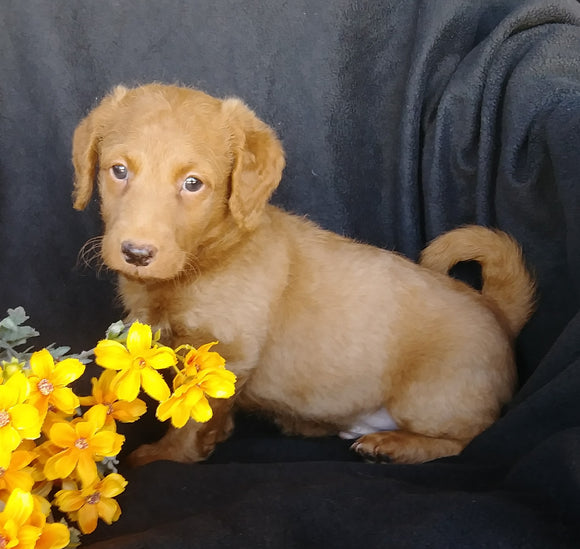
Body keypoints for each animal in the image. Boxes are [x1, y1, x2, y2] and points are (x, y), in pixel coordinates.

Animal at [72, 83, 536, 464]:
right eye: (118, 170)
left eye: (192, 183)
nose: (136, 252)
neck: (204, 259)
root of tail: (496, 310)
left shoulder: (226, 355)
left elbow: (190, 416)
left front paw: (166, 456)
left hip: (433, 394)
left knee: (469, 438)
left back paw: (393, 445)